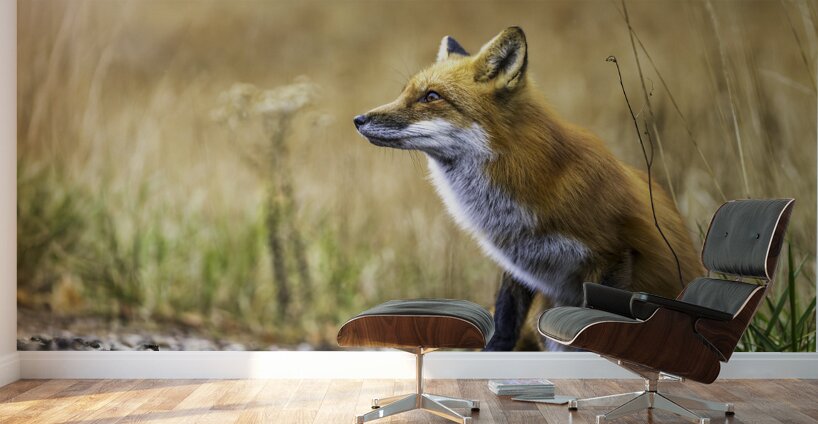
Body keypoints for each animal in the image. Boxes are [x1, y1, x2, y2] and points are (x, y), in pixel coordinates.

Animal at [353, 27, 705, 351]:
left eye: (431, 97)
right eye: (405, 92)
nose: (358, 119)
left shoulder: (613, 255)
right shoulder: (517, 268)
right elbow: (503, 327)